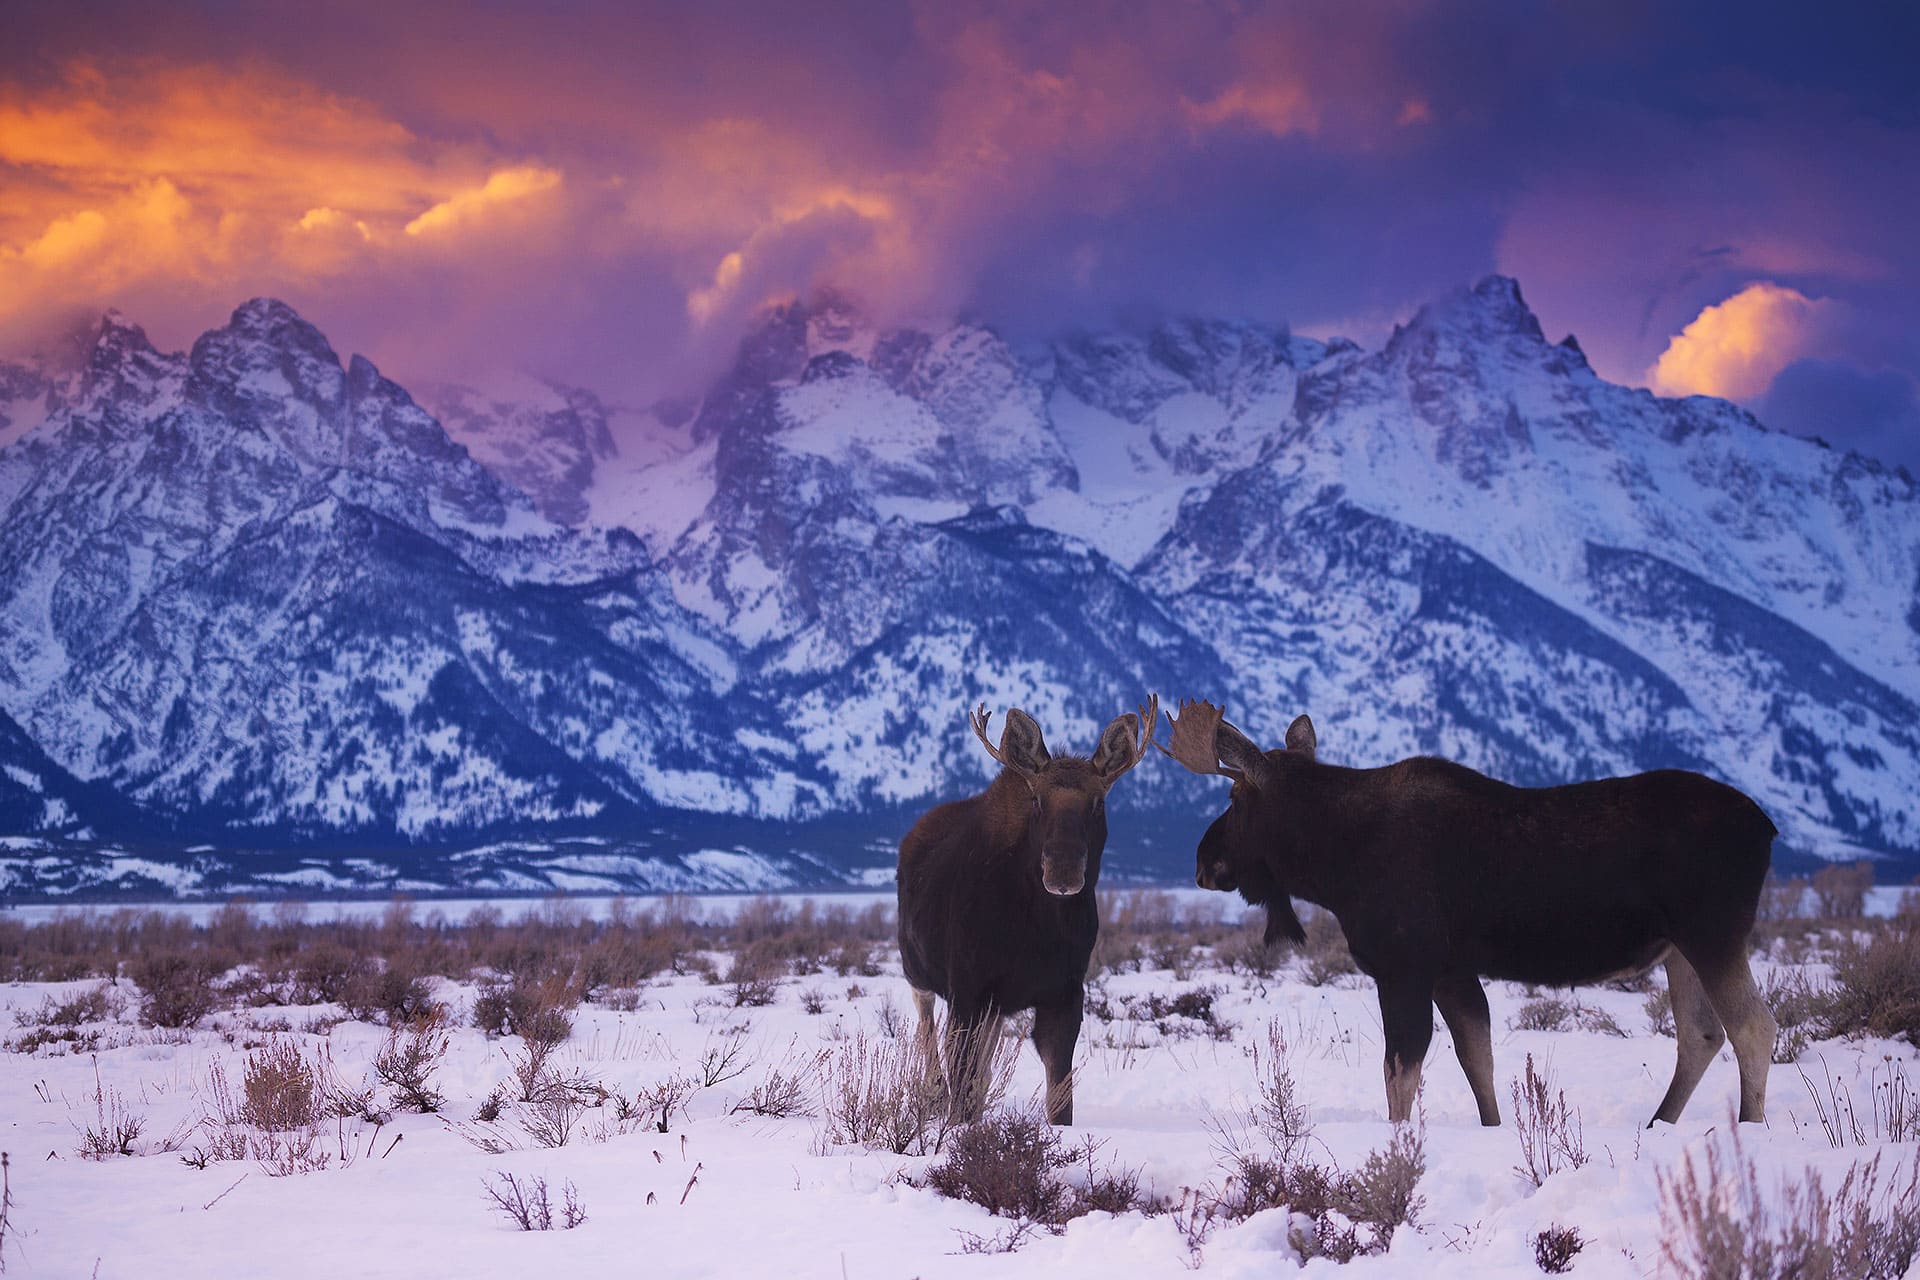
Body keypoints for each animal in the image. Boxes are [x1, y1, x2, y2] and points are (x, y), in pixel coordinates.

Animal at [896, 696, 1158, 1126]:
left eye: (1098, 802)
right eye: (1036, 799)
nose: (1063, 870)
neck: (1037, 930)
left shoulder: (1063, 993)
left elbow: (1059, 1099)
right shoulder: (967, 988)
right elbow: (961, 1084)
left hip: (994, 1007)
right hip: (917, 969)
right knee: (926, 1027)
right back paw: (931, 1096)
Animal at [1159, 699, 1778, 1129]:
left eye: (1234, 799)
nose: (1203, 862)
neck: (1334, 866)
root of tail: (1768, 827)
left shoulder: (1403, 966)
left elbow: (1400, 1073)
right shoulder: (1452, 971)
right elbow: (1477, 1061)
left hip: (1712, 933)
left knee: (1753, 1026)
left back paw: (1749, 1130)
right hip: (1680, 948)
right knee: (1701, 1034)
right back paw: (1657, 1127)